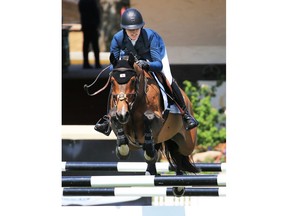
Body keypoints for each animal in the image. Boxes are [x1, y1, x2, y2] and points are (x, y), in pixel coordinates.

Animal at [107, 53, 199, 181]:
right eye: (111, 81)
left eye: (133, 81)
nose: (123, 114)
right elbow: (114, 118)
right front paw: (122, 150)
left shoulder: (158, 119)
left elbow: (148, 117)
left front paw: (149, 152)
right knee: (171, 152)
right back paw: (153, 171)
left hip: (187, 144)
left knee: (179, 153)